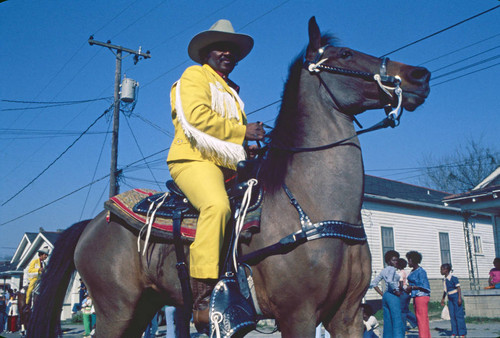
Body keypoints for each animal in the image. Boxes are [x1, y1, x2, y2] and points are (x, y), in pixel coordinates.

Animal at [28, 17, 430, 336]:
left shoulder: (346, 316)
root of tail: (95, 222)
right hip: (117, 310)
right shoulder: (297, 315)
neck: (311, 208)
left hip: (143, 307)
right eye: (345, 55)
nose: (419, 76)